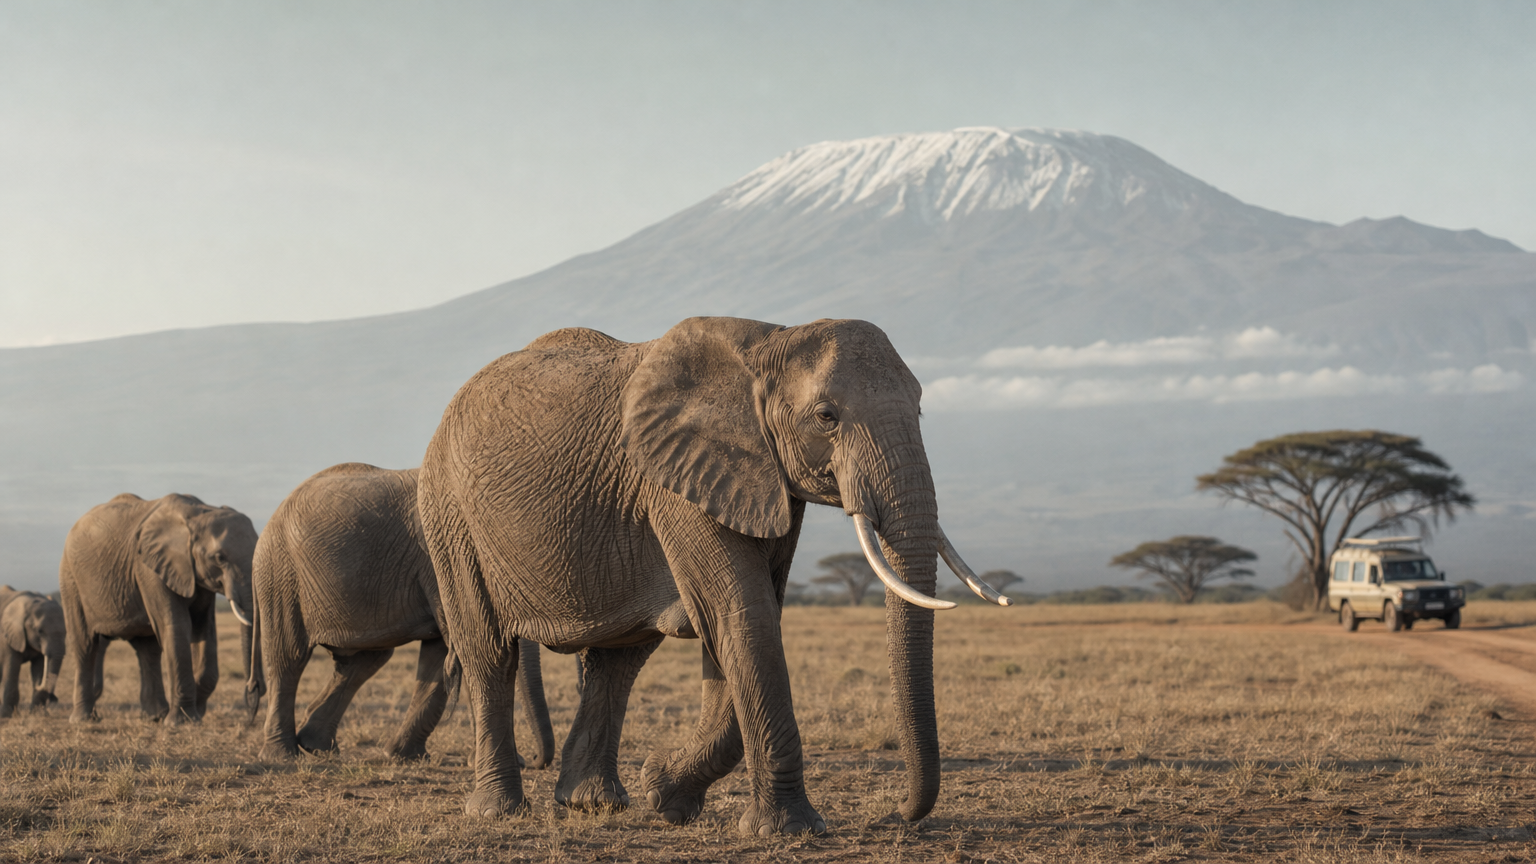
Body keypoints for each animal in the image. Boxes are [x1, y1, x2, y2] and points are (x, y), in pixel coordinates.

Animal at [0, 586, 66, 717]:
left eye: (66, 632)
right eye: (40, 631)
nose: (54, 699)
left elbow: (39, 666)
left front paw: (37, 714)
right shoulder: (7, 636)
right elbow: (11, 666)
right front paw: (7, 715)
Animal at [59, 493, 257, 724]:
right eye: (219, 558)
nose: (251, 710)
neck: (199, 512)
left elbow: (203, 629)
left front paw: (196, 713)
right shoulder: (150, 568)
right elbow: (178, 626)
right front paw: (182, 722)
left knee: (148, 649)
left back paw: (155, 716)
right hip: (70, 579)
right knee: (86, 643)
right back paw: (84, 720)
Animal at [249, 462, 555, 765]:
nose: (534, 759)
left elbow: (439, 655)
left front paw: (404, 756)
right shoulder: (436, 561)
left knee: (364, 660)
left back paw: (318, 746)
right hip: (279, 575)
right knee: (288, 658)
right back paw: (283, 756)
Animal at [418, 317, 1005, 835]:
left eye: (921, 409)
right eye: (826, 416)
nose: (899, 814)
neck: (770, 341)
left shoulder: (758, 478)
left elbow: (738, 623)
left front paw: (664, 793)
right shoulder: (680, 480)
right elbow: (741, 616)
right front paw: (790, 830)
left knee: (617, 661)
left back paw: (592, 804)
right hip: (449, 512)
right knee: (489, 653)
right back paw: (498, 812)